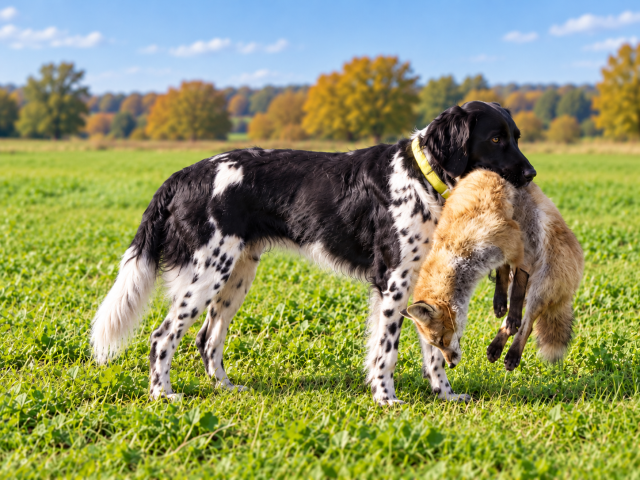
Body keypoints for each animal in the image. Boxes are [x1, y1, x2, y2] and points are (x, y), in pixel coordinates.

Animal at [401, 169, 583, 398]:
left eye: (441, 341)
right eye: (435, 343)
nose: (450, 365)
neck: (458, 251)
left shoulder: (518, 247)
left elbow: (517, 292)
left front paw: (510, 313)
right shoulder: (504, 254)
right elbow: (503, 275)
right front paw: (500, 304)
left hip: (541, 287)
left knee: (527, 324)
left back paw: (512, 354)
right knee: (514, 321)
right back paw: (496, 346)